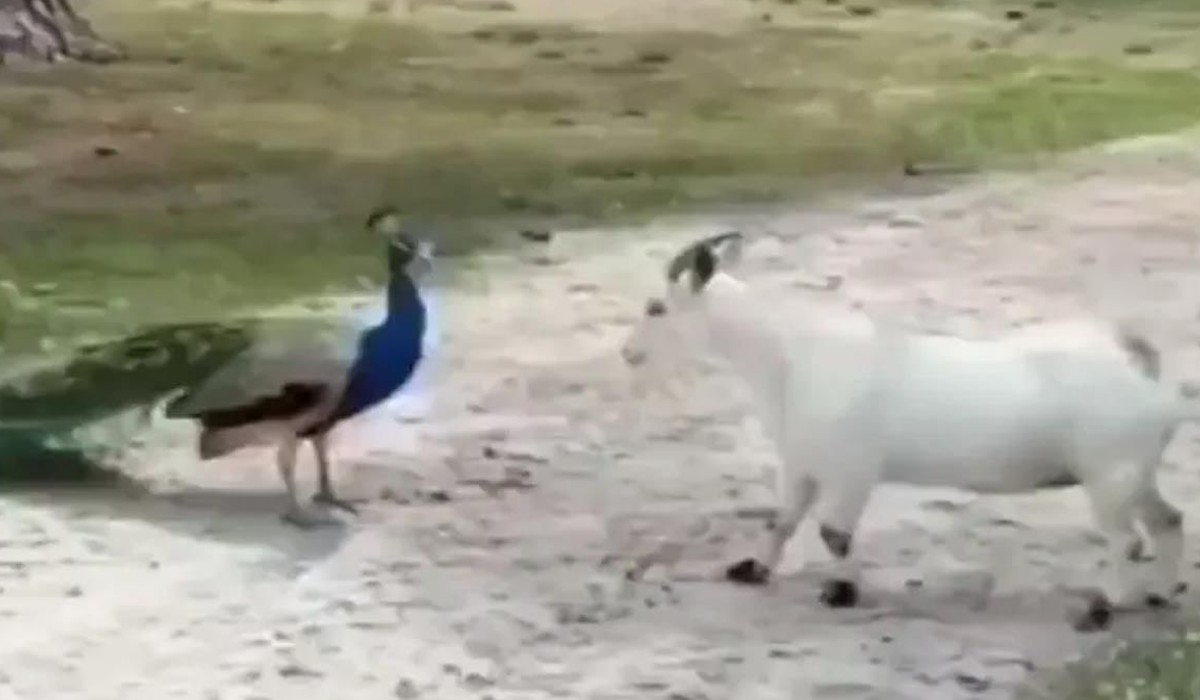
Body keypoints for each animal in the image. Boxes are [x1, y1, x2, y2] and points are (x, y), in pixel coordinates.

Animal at [619, 232, 1200, 633]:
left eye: (656, 307)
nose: (628, 353)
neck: (789, 355)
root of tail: (1138, 361)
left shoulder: (850, 468)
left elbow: (833, 532)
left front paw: (842, 591)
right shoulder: (801, 460)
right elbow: (781, 520)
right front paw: (753, 569)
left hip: (1108, 469)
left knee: (1126, 540)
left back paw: (1105, 606)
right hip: (1134, 469)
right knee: (1168, 520)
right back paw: (1160, 593)